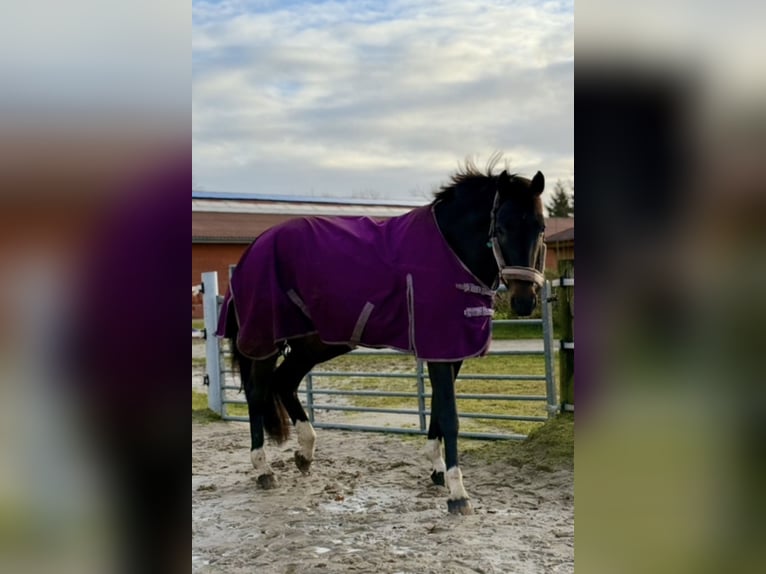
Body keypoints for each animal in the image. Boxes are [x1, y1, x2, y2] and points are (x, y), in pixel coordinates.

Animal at [217, 159, 546, 515]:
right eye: (501, 229)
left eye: (540, 227)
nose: (524, 301)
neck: (450, 250)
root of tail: (255, 246)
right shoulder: (439, 347)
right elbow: (450, 416)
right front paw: (458, 494)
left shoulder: (449, 350)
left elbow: (438, 410)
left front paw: (437, 471)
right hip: (266, 338)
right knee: (257, 391)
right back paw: (263, 469)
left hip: (316, 343)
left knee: (285, 381)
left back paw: (305, 453)